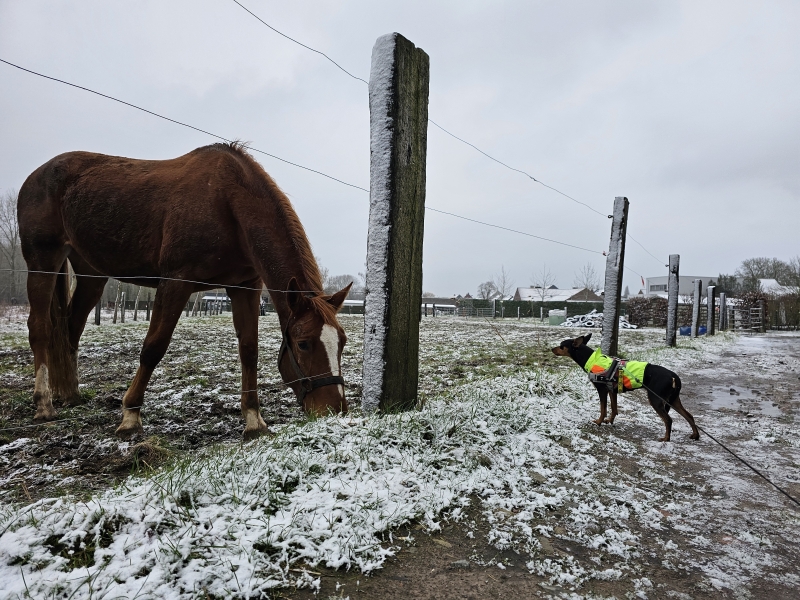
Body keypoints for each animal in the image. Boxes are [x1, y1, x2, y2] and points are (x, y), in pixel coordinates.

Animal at [17, 142, 351, 439]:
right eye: (304, 344)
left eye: (342, 343)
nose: (333, 410)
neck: (226, 202)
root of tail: (38, 174)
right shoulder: (176, 282)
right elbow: (154, 347)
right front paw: (130, 416)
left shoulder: (245, 287)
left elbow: (249, 350)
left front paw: (254, 420)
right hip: (43, 262)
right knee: (40, 328)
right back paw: (44, 404)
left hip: (91, 275)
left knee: (71, 329)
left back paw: (70, 394)